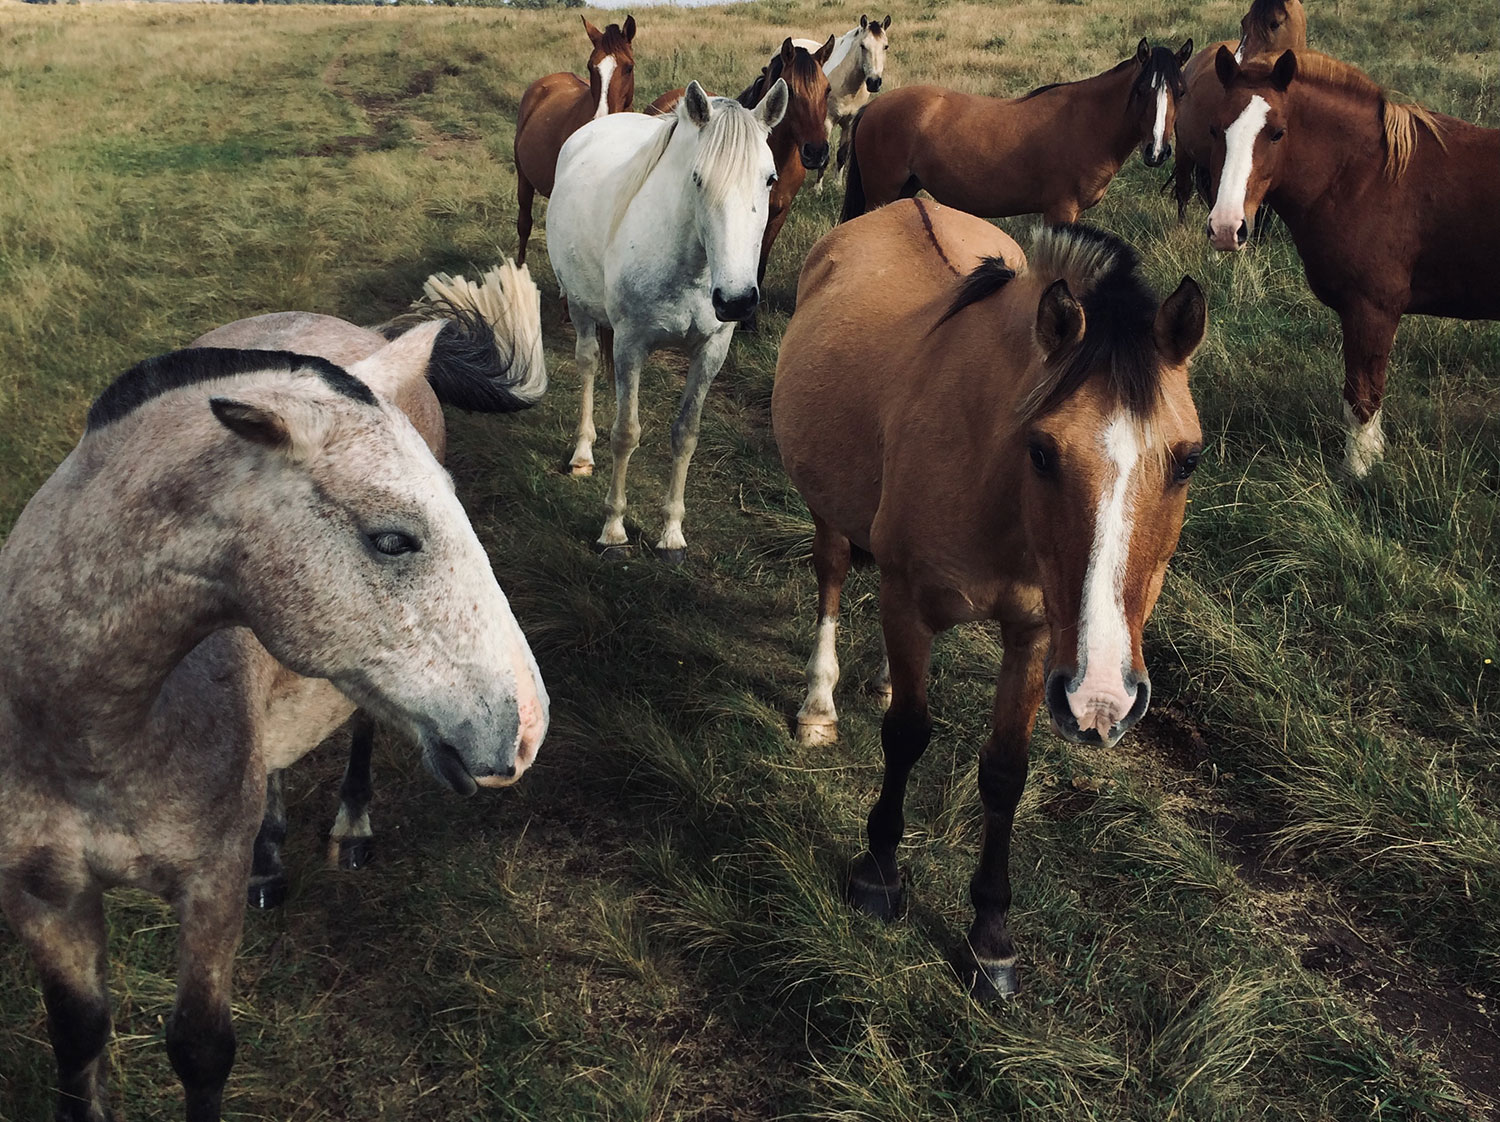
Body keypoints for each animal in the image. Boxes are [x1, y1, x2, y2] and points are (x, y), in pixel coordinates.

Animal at [549, 80, 788, 561]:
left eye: (769, 179)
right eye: (698, 179)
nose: (736, 300)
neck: (691, 267)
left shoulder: (711, 352)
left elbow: (686, 435)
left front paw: (672, 533)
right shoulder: (630, 344)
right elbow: (626, 433)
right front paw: (613, 529)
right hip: (581, 307)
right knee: (586, 364)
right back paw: (583, 453)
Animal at [773, 199, 1206, 999]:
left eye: (1188, 460)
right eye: (1043, 451)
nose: (1103, 699)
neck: (991, 479)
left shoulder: (1037, 634)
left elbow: (1005, 770)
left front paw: (991, 935)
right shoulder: (907, 593)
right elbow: (908, 734)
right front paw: (878, 875)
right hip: (830, 515)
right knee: (833, 573)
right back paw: (820, 705)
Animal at [789, 14, 891, 191]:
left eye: (885, 46)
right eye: (863, 46)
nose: (874, 82)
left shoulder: (849, 123)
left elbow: (842, 154)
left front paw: (837, 185)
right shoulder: (827, 122)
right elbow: (825, 156)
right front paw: (818, 189)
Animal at [840, 38, 1192, 225]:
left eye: (1181, 92)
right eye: (1142, 91)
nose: (1157, 151)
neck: (1088, 121)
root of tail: (874, 106)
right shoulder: (1060, 213)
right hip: (881, 193)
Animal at [1204, 48, 1500, 476]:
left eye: (1277, 132)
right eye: (1215, 130)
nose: (1227, 227)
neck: (1368, 178)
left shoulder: (1372, 310)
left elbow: (1362, 398)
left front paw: (1359, 473)